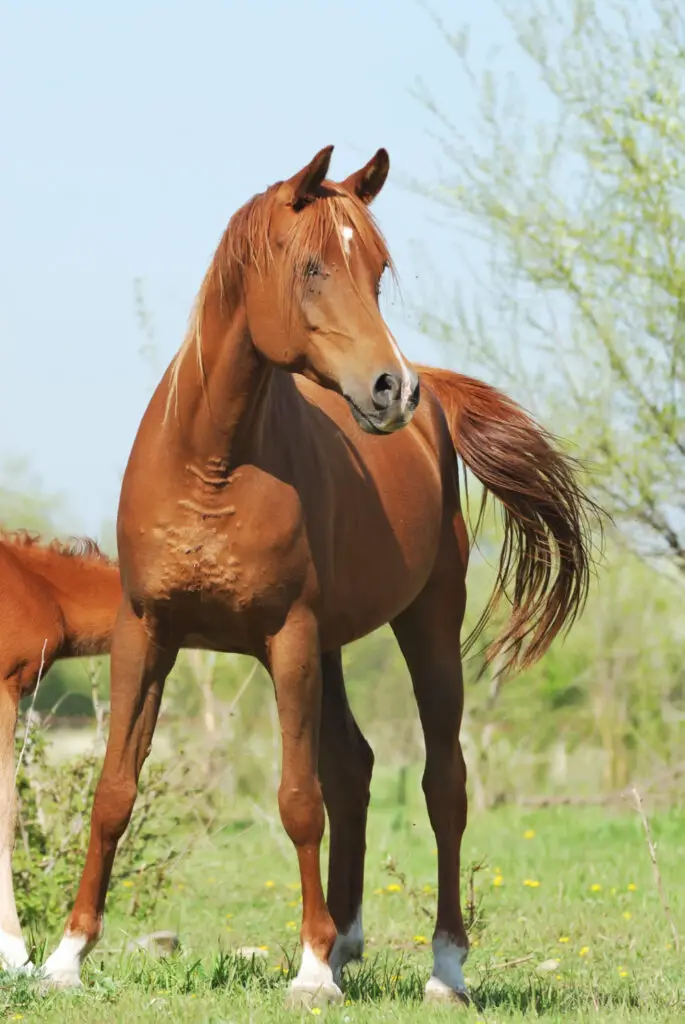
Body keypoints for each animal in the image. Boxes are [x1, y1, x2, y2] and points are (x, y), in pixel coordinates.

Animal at [42, 148, 597, 1003]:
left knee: (442, 784)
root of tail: (437, 396)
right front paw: (66, 956)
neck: (210, 464)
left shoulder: (288, 637)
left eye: (376, 270)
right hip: (332, 645)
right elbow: (114, 791)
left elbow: (298, 800)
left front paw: (308, 972)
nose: (390, 389)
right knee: (353, 767)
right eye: (311, 267)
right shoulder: (147, 632)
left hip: (424, 625)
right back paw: (345, 940)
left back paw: (441, 967)